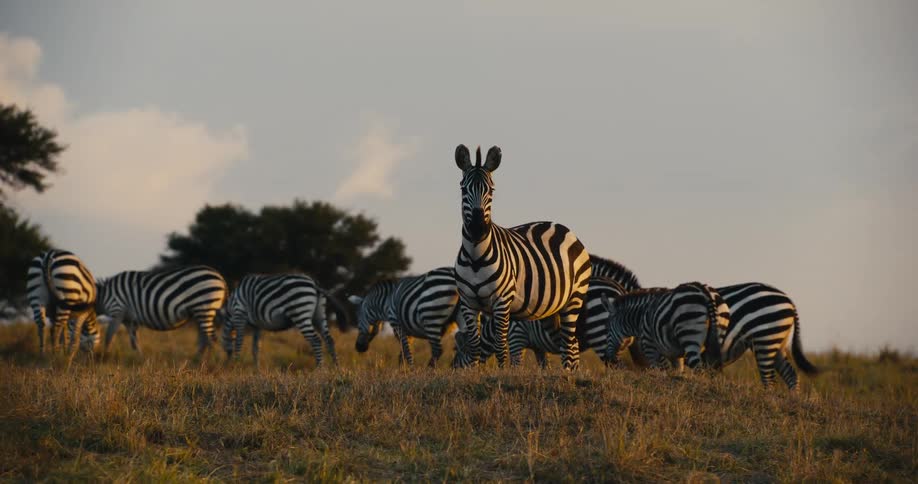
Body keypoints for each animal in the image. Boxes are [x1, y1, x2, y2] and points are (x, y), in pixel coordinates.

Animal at [98, 265, 228, 356]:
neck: (103, 295)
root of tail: (221, 278)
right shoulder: (129, 319)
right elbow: (134, 340)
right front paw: (139, 357)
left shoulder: (117, 309)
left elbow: (109, 335)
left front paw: (105, 356)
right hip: (201, 312)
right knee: (204, 338)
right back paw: (198, 359)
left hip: (204, 307)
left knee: (211, 338)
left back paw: (209, 362)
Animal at [452, 276, 628, 368]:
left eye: (459, 353)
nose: (453, 372)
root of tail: (619, 290)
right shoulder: (539, 348)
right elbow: (544, 367)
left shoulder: (516, 337)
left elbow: (516, 365)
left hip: (600, 334)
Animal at [453, 145, 593, 370]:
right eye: (463, 190)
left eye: (491, 191)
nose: (478, 229)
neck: (475, 258)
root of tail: (565, 229)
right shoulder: (468, 302)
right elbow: (474, 344)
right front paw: (473, 372)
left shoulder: (502, 302)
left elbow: (501, 346)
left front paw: (501, 373)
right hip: (550, 309)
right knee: (571, 344)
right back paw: (570, 372)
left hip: (574, 297)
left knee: (569, 342)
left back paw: (569, 373)